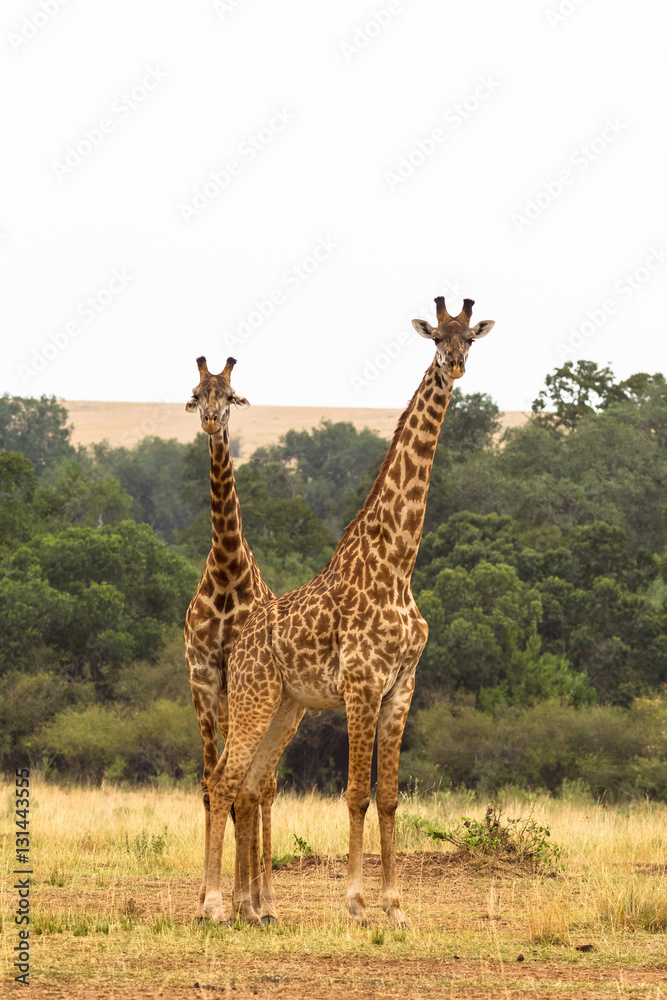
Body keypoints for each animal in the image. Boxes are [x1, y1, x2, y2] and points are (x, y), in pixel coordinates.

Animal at [201, 296, 495, 926]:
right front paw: (357, 902)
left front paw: (396, 905)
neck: (398, 563)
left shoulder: (402, 685)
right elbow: (356, 791)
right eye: (436, 335)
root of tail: (239, 642)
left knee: (248, 782)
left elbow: (388, 795)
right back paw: (212, 905)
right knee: (222, 778)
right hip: (253, 698)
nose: (454, 364)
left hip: (285, 708)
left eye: (470, 338)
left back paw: (248, 908)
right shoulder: (362, 683)